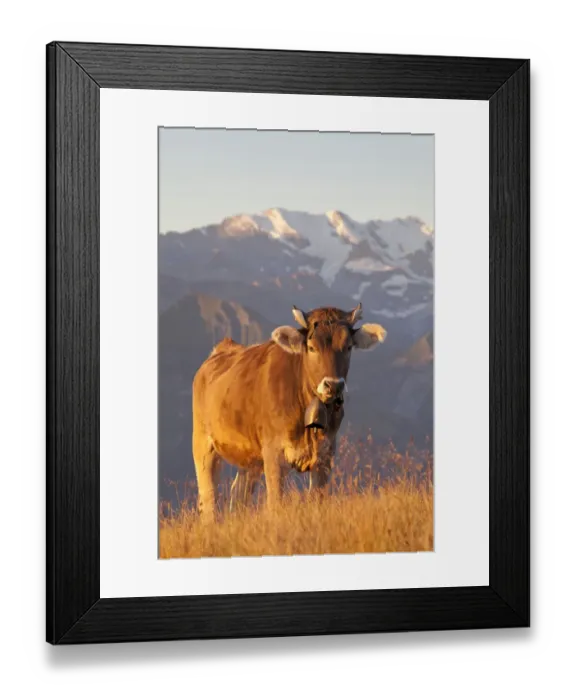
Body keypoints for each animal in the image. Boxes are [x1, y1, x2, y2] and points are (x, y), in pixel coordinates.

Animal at [191, 302, 387, 519]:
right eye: (311, 347)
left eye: (348, 347)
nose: (334, 385)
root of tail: (223, 347)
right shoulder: (274, 453)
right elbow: (276, 504)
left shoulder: (326, 454)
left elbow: (318, 501)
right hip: (203, 443)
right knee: (209, 500)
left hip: (250, 456)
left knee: (239, 494)